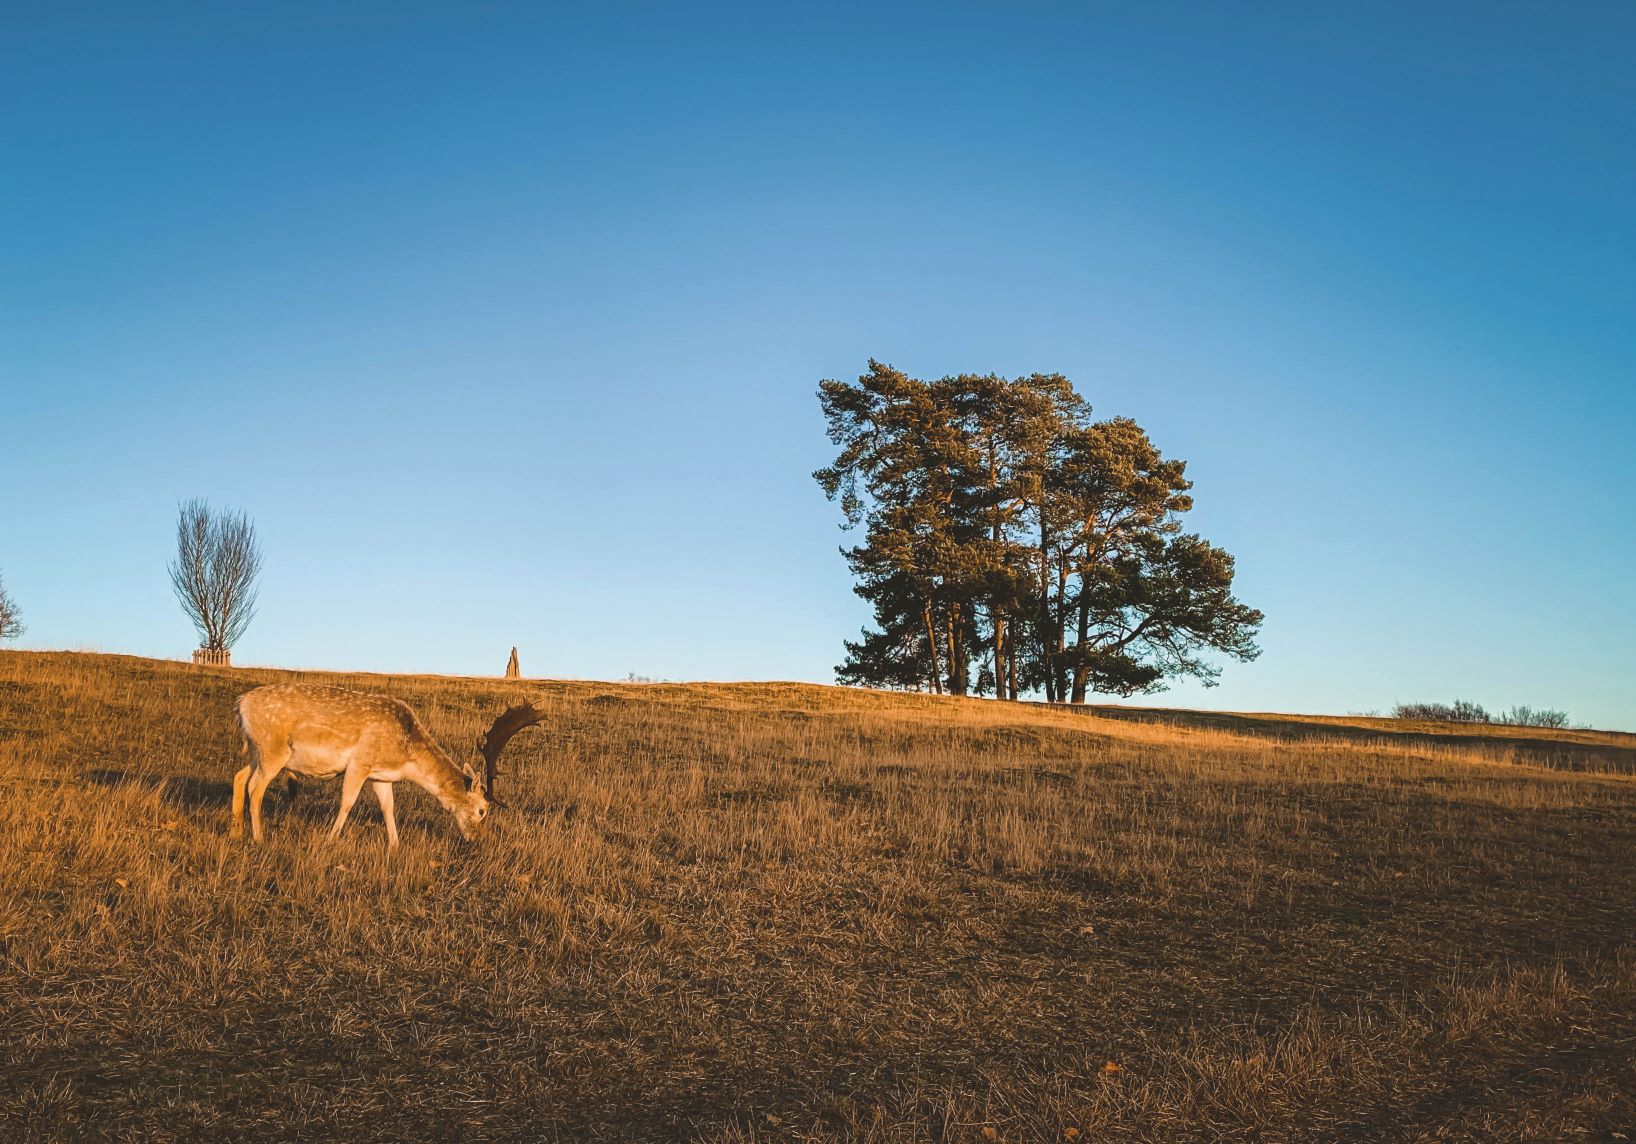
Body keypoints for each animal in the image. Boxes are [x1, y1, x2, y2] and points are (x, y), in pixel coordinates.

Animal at [232, 684, 549, 844]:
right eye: (482, 810)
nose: (477, 839)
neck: (405, 758)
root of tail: (240, 703)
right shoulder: (360, 762)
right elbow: (347, 802)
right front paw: (330, 840)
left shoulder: (381, 775)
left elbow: (388, 807)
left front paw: (395, 846)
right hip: (273, 749)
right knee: (255, 788)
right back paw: (259, 838)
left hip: (258, 751)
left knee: (239, 777)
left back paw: (236, 831)